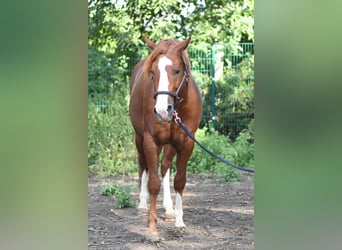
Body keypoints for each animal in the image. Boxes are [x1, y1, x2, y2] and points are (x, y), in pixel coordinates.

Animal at [130, 36, 202, 241]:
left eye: (177, 70)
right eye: (153, 72)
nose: (162, 111)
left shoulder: (187, 143)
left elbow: (179, 180)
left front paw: (179, 222)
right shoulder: (150, 140)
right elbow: (153, 182)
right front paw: (152, 229)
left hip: (170, 144)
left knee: (165, 166)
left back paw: (169, 208)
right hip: (139, 138)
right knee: (144, 165)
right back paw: (142, 204)